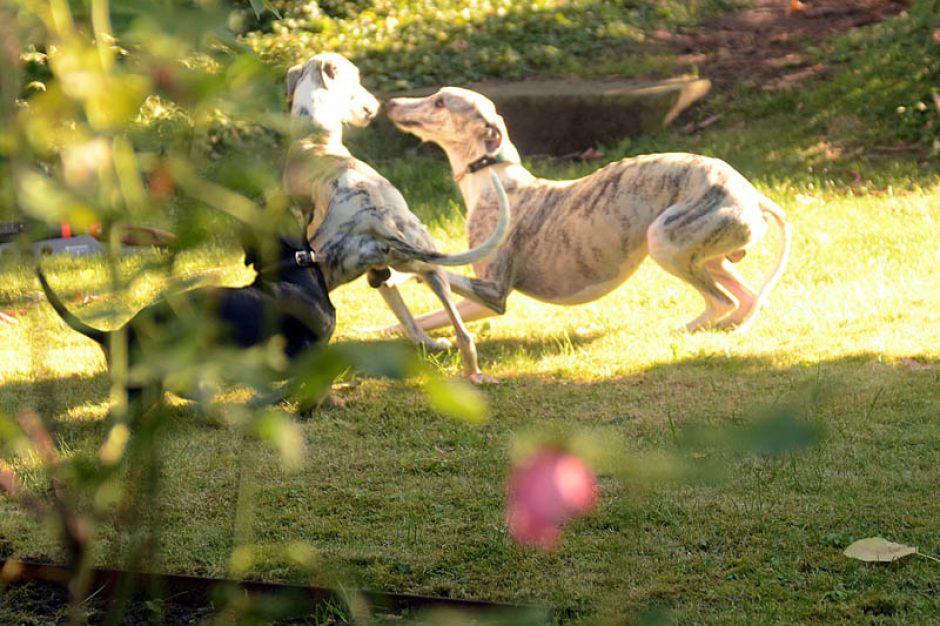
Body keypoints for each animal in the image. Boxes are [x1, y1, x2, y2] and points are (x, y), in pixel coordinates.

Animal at [282, 56, 510, 382]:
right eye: (356, 84)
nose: (376, 106)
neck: (315, 138)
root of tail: (377, 221)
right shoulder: (385, 278)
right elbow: (405, 314)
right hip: (427, 267)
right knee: (459, 332)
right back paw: (468, 368)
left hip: (323, 272)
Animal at [384, 86, 792, 334]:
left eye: (440, 102)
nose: (389, 103)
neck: (494, 179)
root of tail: (754, 195)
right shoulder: (481, 300)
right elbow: (418, 319)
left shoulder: (493, 293)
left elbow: (440, 276)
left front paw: (403, 265)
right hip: (710, 254)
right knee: (746, 298)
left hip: (664, 239)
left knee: (722, 300)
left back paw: (681, 330)